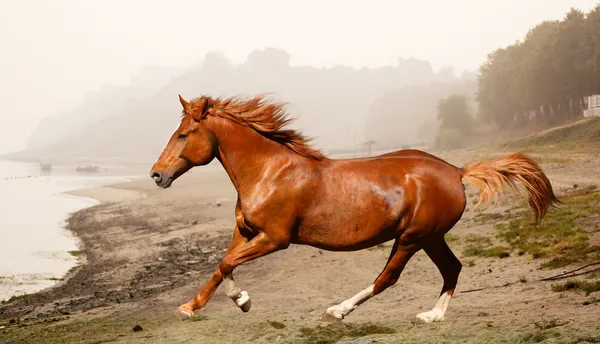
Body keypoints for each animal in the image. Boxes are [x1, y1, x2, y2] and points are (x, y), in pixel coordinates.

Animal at [149, 93, 556, 322]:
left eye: (183, 134)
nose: (156, 174)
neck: (269, 172)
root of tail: (456, 171)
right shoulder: (245, 231)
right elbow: (221, 266)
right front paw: (189, 307)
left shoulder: (275, 238)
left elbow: (227, 265)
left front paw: (243, 301)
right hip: (430, 237)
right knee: (451, 268)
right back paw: (431, 317)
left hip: (411, 238)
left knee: (387, 279)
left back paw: (337, 311)